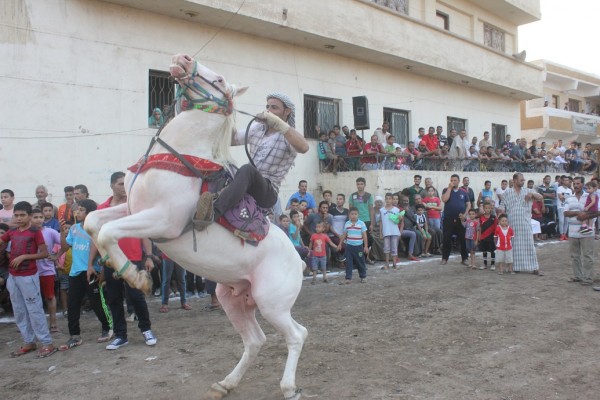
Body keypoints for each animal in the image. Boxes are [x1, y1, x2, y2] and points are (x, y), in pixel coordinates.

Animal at [84, 54, 307, 400]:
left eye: (219, 80)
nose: (182, 60)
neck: (180, 158)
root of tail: (299, 259)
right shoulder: (133, 209)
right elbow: (92, 222)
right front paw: (127, 270)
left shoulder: (163, 219)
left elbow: (108, 233)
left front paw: (138, 278)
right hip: (233, 297)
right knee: (255, 340)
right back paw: (225, 383)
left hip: (273, 303)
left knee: (297, 334)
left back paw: (288, 387)